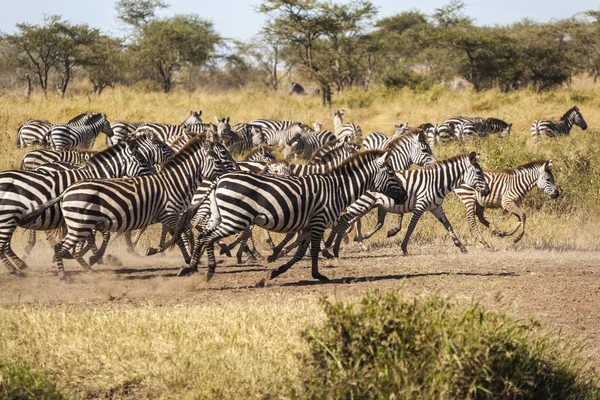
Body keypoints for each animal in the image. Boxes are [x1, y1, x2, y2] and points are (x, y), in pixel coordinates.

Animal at [0, 134, 173, 276]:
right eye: (142, 160)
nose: (155, 177)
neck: (98, 175)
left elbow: (95, 237)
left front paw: (79, 255)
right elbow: (100, 236)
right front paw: (94, 257)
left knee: (7, 244)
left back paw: (20, 265)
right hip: (8, 216)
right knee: (5, 244)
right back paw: (16, 269)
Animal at [173, 148, 408, 282]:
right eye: (390, 172)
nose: (405, 195)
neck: (337, 189)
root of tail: (218, 181)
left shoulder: (308, 224)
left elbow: (300, 252)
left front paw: (277, 271)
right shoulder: (319, 221)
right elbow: (313, 251)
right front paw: (318, 275)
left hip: (220, 216)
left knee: (203, 235)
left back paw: (191, 267)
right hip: (235, 218)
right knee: (207, 237)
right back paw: (208, 270)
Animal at [326, 152, 490, 258]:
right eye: (478, 173)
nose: (488, 191)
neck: (437, 182)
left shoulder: (436, 207)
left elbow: (448, 225)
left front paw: (461, 246)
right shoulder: (420, 206)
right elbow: (411, 226)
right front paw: (404, 248)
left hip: (366, 205)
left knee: (345, 221)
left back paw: (334, 247)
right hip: (363, 203)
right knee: (343, 220)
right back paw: (329, 247)